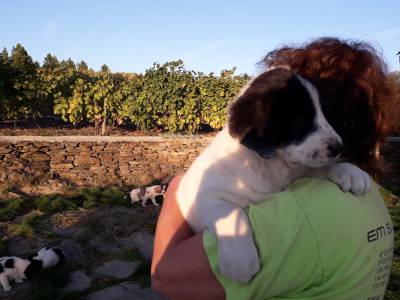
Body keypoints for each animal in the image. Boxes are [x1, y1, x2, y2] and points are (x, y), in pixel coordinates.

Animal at [177, 67, 370, 284]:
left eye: (324, 115)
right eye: (300, 121)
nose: (339, 148)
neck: (272, 164)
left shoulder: (299, 170)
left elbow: (318, 168)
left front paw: (350, 172)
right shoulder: (209, 194)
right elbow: (233, 213)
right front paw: (240, 261)